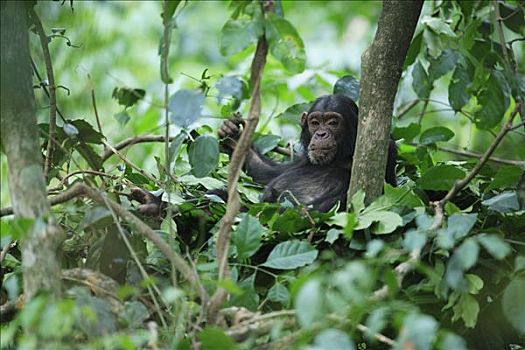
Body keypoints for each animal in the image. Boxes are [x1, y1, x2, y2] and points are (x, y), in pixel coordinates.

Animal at [218, 93, 398, 212]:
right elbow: (266, 172)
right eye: (315, 123)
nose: (321, 134)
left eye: (333, 123)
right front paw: (233, 136)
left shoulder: (386, 151)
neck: (342, 156)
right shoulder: (303, 157)